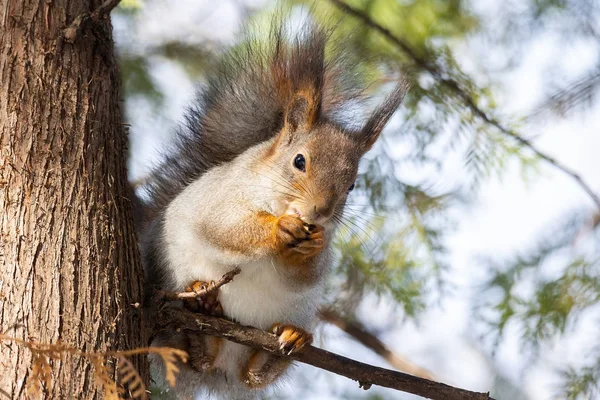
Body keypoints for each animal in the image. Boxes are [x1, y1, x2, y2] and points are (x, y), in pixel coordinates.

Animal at [138, 17, 406, 398]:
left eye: (353, 184)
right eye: (299, 161)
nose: (320, 212)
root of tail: (219, 373)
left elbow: (307, 275)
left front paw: (311, 247)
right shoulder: (218, 197)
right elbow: (221, 226)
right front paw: (279, 228)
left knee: (253, 375)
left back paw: (284, 345)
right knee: (191, 355)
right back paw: (200, 316)